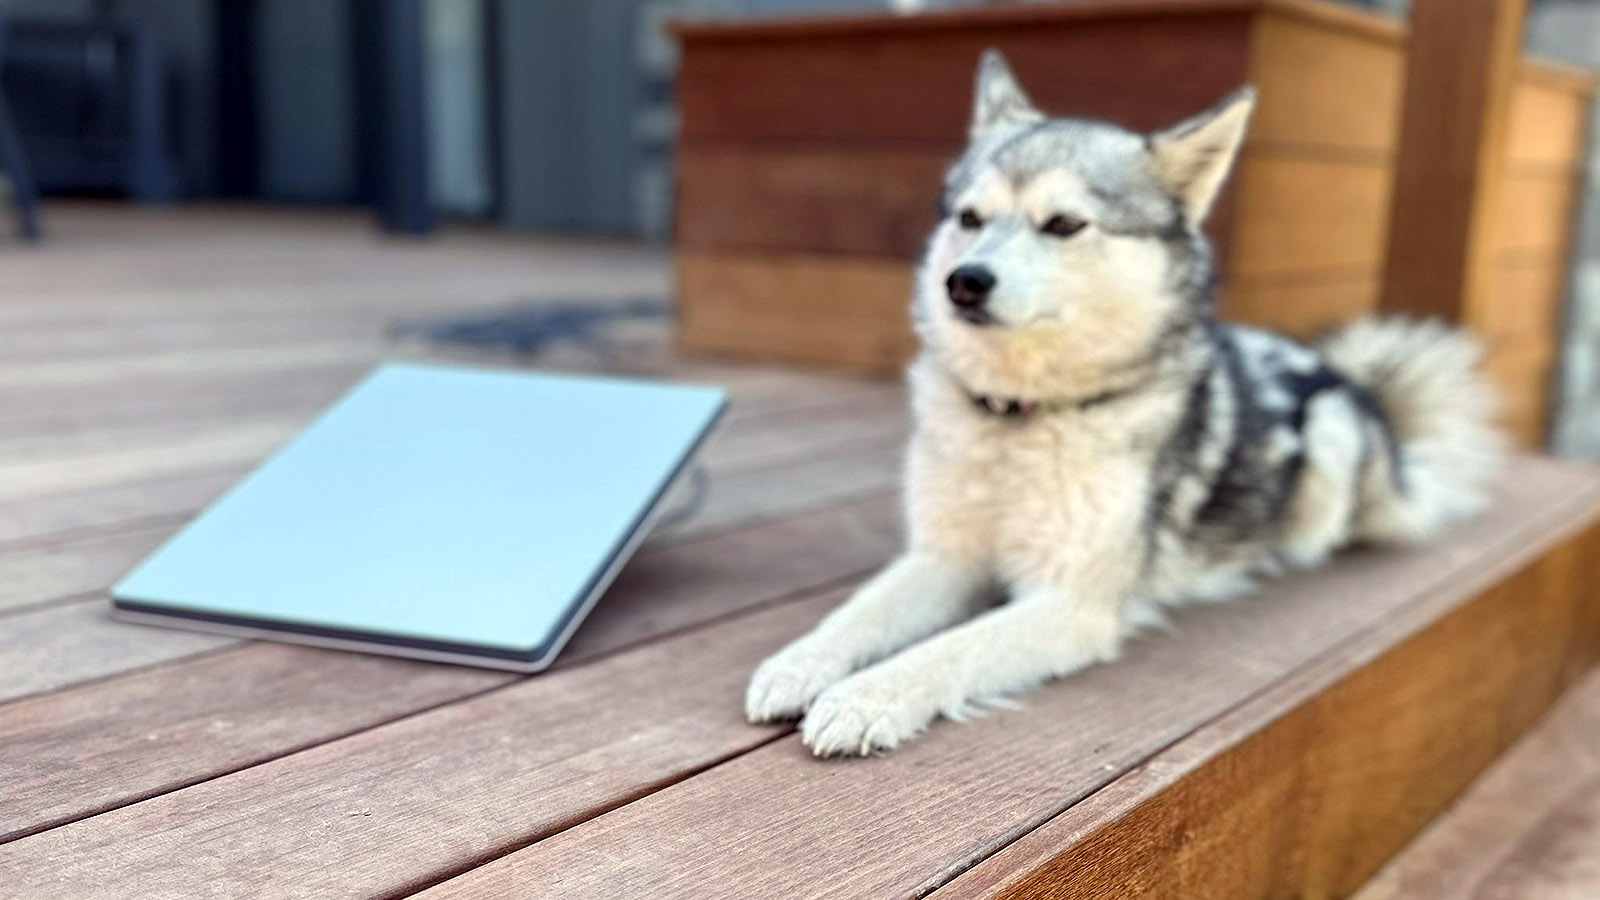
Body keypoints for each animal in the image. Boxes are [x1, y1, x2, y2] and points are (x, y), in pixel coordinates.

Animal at [745, 49, 1497, 749]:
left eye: (1063, 224)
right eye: (969, 218)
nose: (964, 282)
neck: (1021, 421)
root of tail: (1360, 390)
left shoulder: (1069, 602)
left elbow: (945, 650)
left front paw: (864, 698)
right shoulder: (945, 557)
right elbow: (860, 612)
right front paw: (800, 663)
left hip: (1328, 435)